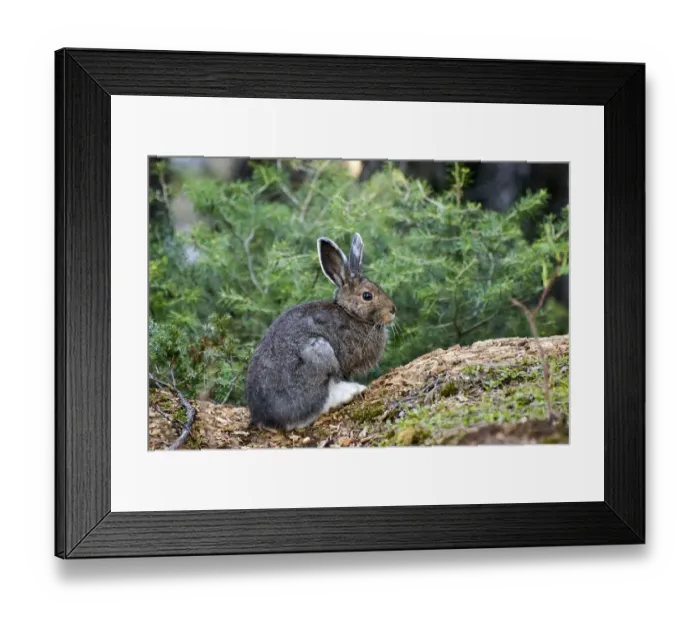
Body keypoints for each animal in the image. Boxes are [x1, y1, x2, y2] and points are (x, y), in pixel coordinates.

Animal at [245, 232, 396, 431]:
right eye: (367, 296)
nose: (393, 310)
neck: (351, 313)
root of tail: (267, 418)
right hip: (319, 352)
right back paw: (352, 391)